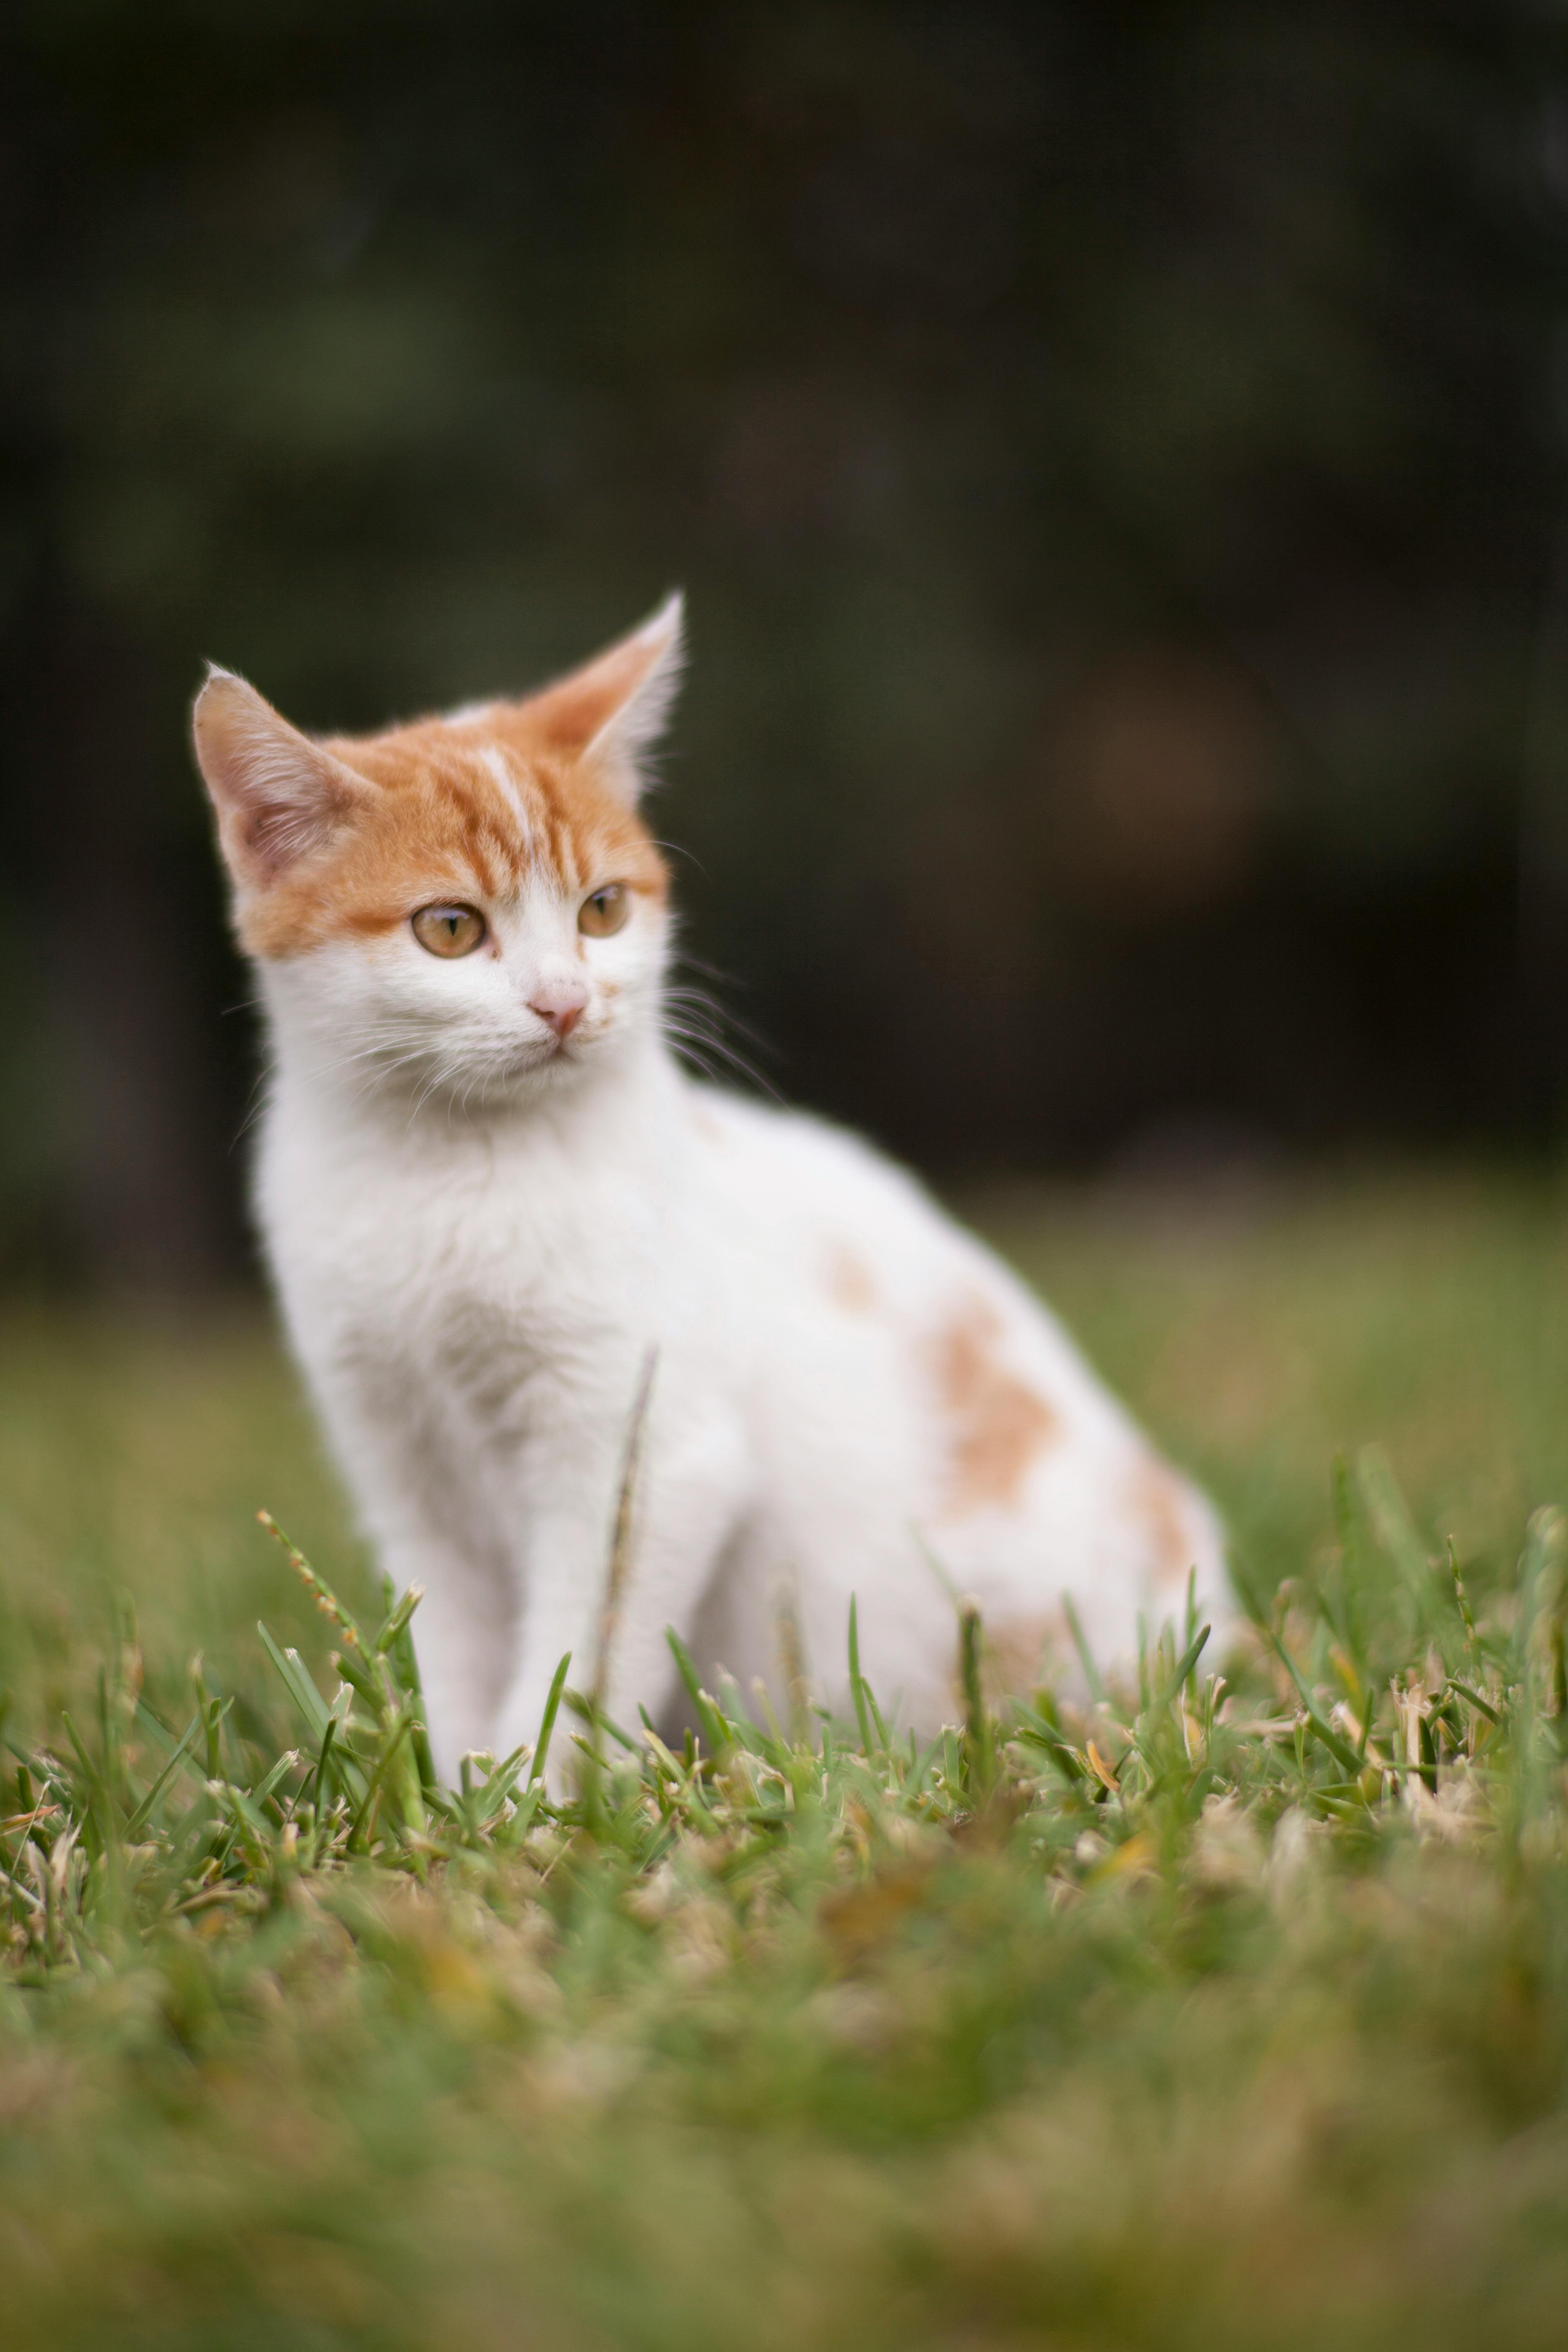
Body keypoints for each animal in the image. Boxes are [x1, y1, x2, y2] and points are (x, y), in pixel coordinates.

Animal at [190, 597, 1232, 1769]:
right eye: (449, 927)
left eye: (602, 910)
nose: (563, 1002)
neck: (450, 1173)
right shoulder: (400, 1458)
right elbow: (455, 1650)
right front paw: (461, 1790)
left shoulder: (651, 1451)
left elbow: (579, 1655)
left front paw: (539, 1793)